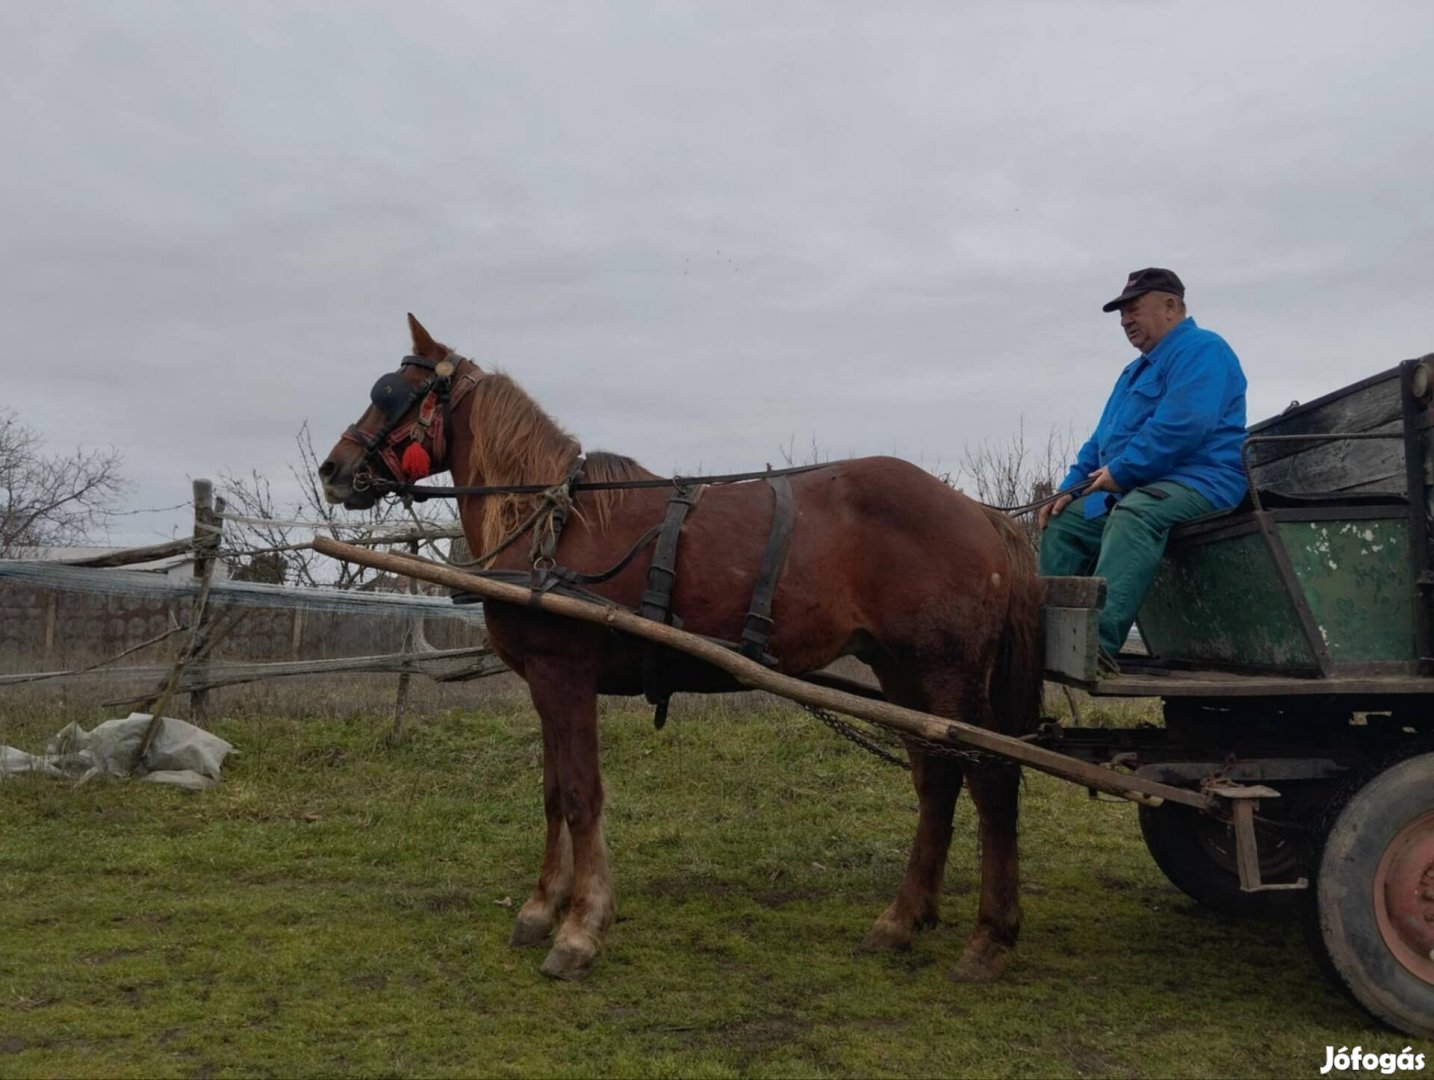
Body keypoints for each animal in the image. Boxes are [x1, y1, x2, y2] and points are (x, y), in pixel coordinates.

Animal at [322, 315, 1043, 981]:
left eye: (391, 392)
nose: (334, 470)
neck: (549, 524)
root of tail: (979, 512)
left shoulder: (565, 675)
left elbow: (581, 794)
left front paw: (580, 929)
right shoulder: (544, 686)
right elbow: (553, 793)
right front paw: (542, 907)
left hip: (947, 673)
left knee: (990, 778)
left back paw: (989, 937)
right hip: (901, 672)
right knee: (938, 780)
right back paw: (902, 919)